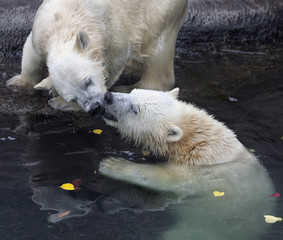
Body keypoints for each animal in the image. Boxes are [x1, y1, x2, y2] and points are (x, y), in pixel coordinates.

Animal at [6, 0, 189, 112]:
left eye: (88, 81)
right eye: (72, 98)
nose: (95, 107)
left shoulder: (111, 28)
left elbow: (112, 63)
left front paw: (59, 103)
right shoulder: (42, 30)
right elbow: (31, 52)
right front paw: (19, 83)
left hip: (159, 12)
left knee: (157, 50)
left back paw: (130, 87)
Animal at [100, 88, 278, 240]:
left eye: (134, 109)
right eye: (132, 91)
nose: (108, 96)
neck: (197, 139)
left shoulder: (199, 166)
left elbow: (166, 178)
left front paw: (113, 165)